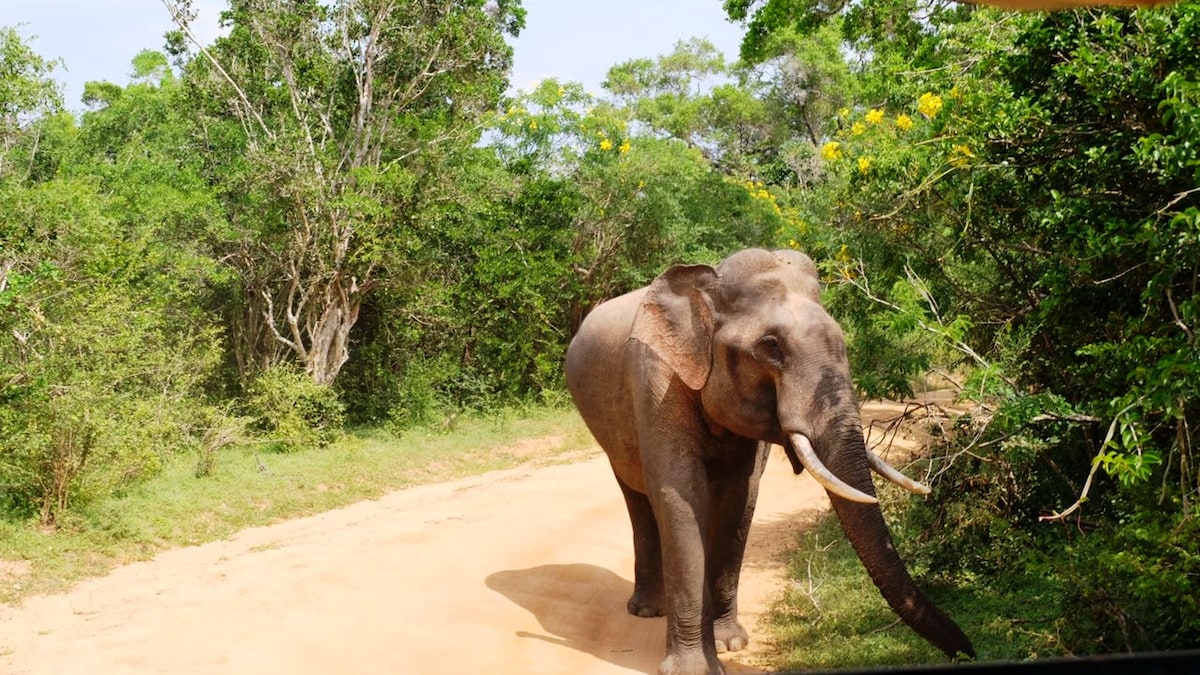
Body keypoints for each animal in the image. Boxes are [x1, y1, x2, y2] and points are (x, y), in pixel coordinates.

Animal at [564, 248, 974, 672]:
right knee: (636, 498)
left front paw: (730, 644)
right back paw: (646, 611)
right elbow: (681, 497)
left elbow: (738, 498)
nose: (969, 651)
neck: (708, 285)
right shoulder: (655, 382)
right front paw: (696, 668)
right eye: (771, 346)